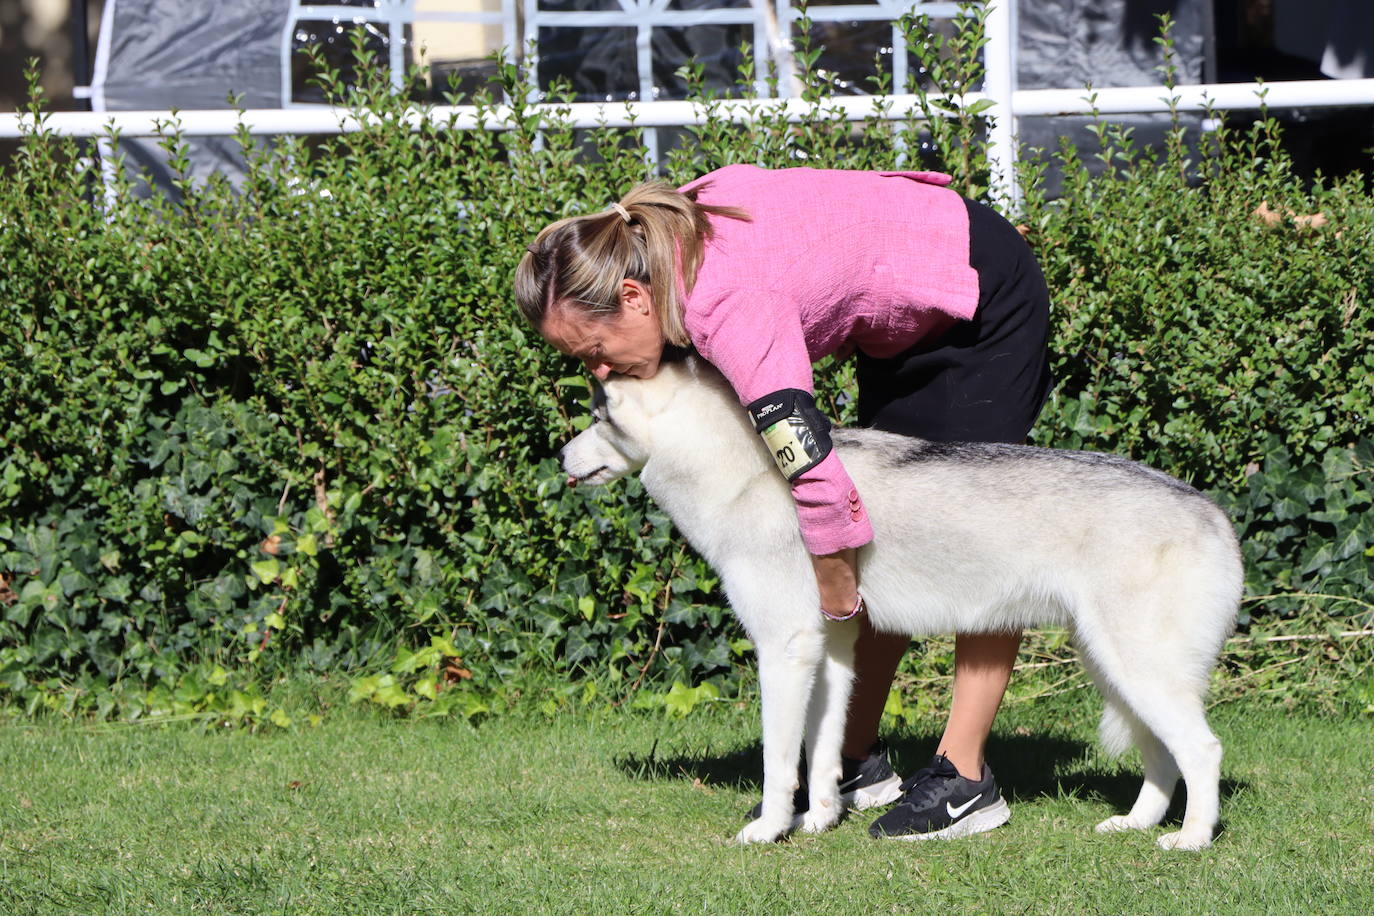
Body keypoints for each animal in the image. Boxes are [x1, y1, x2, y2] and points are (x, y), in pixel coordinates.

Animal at [557, 357, 1247, 851]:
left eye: (595, 416)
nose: (559, 456)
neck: (746, 473)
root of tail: (1213, 512)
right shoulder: (832, 650)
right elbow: (823, 752)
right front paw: (819, 821)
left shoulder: (784, 651)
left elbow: (781, 762)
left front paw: (769, 830)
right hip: (1115, 671)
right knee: (1162, 758)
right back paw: (1137, 825)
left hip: (1137, 671)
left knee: (1203, 751)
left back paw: (1191, 840)